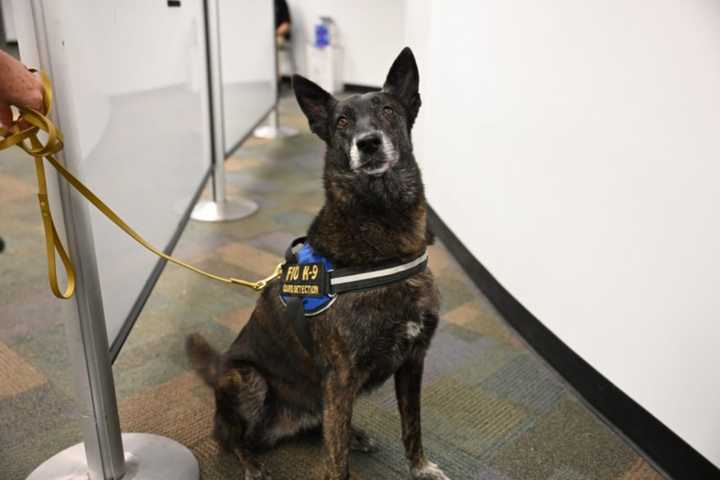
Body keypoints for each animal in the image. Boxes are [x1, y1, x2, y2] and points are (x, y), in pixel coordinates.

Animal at [186, 47, 448, 480]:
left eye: (388, 110)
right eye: (342, 121)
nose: (368, 143)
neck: (383, 229)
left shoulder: (413, 361)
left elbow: (413, 425)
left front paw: (420, 466)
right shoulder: (340, 377)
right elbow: (336, 461)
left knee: (320, 427)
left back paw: (355, 434)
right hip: (248, 379)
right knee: (232, 438)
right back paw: (252, 463)